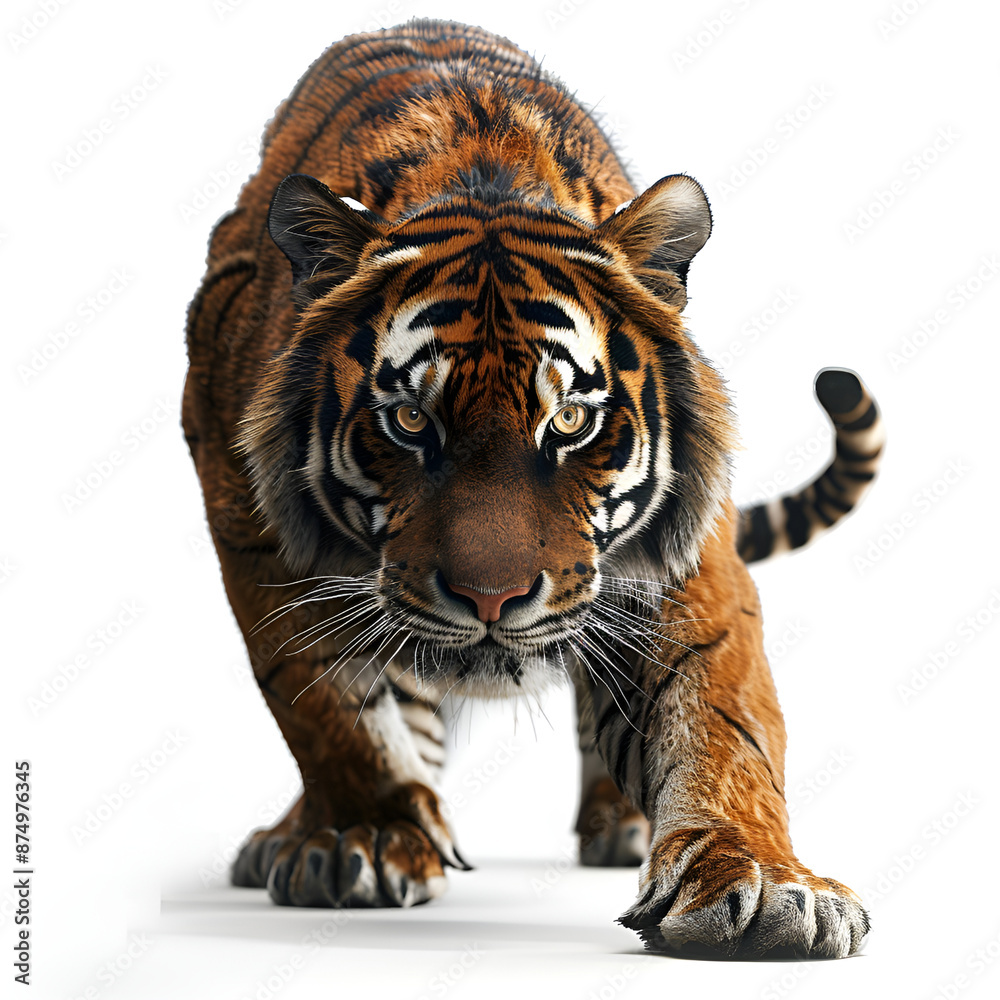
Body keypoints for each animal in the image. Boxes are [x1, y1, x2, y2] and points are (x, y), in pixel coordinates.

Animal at [183, 18, 884, 959]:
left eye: (572, 422)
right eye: (410, 420)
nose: (492, 597)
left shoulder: (686, 556)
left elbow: (723, 715)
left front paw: (766, 883)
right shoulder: (250, 524)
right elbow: (326, 700)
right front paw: (367, 836)